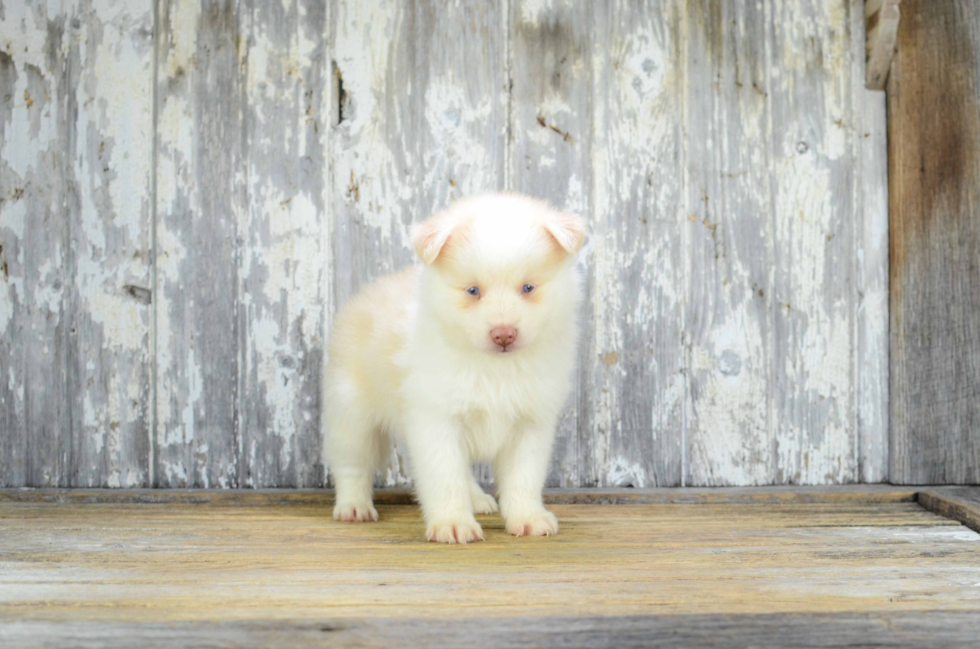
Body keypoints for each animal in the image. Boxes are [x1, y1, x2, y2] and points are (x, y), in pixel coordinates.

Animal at [324, 192, 580, 540]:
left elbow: (523, 478)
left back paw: (478, 499)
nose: (503, 334)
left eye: (528, 288)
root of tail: (365, 293)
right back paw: (353, 507)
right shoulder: (436, 420)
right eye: (473, 291)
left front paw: (528, 517)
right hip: (352, 413)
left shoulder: (530, 423)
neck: (493, 367)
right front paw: (453, 523)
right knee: (352, 464)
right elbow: (445, 478)